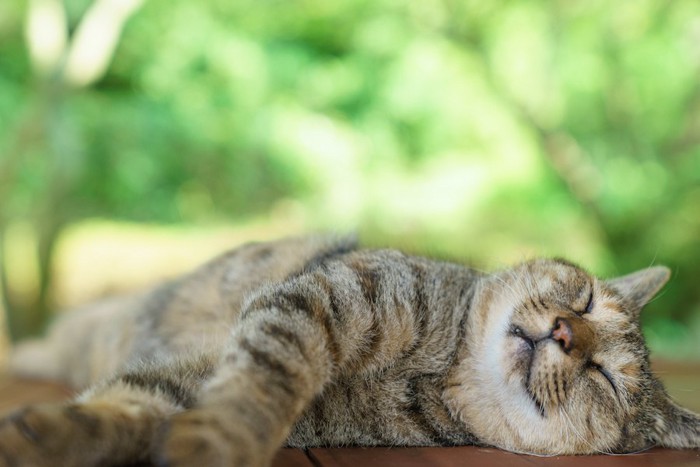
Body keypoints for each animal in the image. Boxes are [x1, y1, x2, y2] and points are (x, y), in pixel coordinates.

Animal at [1, 238, 700, 467]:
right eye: (584, 299)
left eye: (605, 378)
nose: (563, 332)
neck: (445, 370)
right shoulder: (322, 300)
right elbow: (265, 380)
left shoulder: (197, 378)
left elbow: (140, 406)